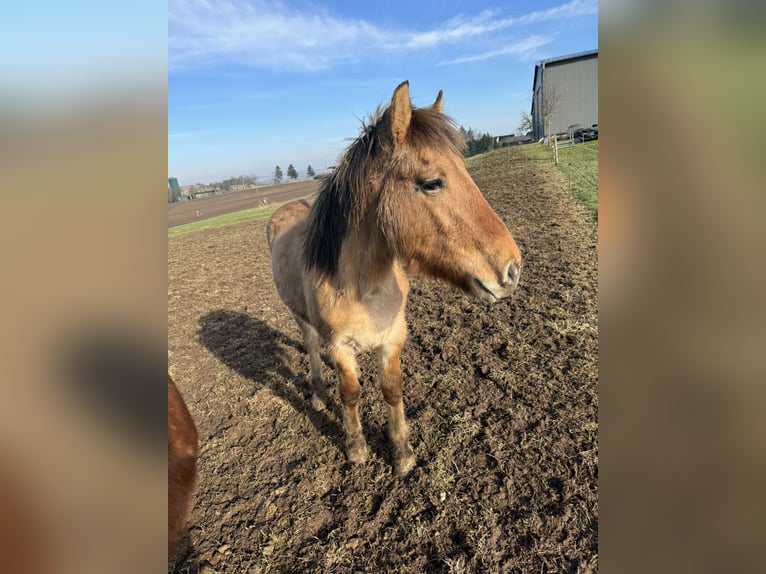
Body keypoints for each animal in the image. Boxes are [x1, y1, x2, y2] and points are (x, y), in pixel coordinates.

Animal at [268, 81, 524, 476]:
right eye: (431, 183)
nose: (512, 269)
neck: (364, 286)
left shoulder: (393, 337)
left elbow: (392, 390)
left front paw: (402, 451)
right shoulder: (340, 347)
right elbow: (351, 393)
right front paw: (356, 447)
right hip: (300, 318)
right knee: (311, 348)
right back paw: (317, 394)